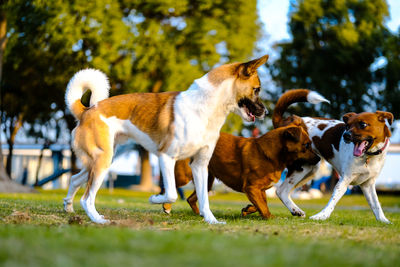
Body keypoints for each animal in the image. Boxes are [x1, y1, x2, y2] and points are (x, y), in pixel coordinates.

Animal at [63, 55, 268, 225]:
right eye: (256, 89)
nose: (265, 112)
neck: (204, 108)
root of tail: (87, 111)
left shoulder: (200, 165)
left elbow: (204, 199)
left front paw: (212, 221)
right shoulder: (166, 157)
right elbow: (171, 194)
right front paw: (154, 199)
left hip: (99, 161)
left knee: (74, 179)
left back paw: (68, 207)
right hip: (102, 162)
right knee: (87, 198)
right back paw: (97, 219)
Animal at [162, 125, 318, 220]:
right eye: (306, 145)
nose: (318, 158)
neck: (272, 154)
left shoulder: (259, 190)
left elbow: (261, 203)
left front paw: (248, 209)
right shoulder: (251, 187)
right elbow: (264, 207)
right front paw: (270, 217)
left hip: (207, 181)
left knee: (191, 199)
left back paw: (200, 213)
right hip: (185, 175)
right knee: (169, 186)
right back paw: (167, 206)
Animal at [274, 89, 392, 224]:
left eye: (363, 124)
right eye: (347, 126)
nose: (346, 135)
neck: (369, 157)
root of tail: (285, 122)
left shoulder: (368, 184)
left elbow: (376, 204)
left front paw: (383, 220)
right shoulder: (344, 180)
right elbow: (333, 200)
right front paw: (322, 216)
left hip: (309, 169)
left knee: (282, 191)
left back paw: (296, 210)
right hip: (300, 167)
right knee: (280, 190)